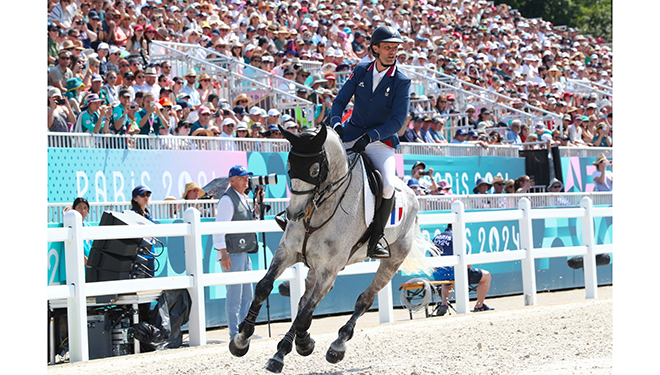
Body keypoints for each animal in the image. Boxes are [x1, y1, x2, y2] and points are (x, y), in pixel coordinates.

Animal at [227, 124, 438, 374]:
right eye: (289, 166)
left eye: (315, 169)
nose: (294, 214)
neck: (320, 206)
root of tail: (413, 195)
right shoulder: (288, 252)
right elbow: (264, 287)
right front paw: (241, 340)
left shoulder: (329, 270)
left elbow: (304, 315)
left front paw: (304, 343)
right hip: (314, 266)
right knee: (304, 301)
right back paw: (283, 350)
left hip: (390, 262)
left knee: (364, 300)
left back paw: (336, 346)